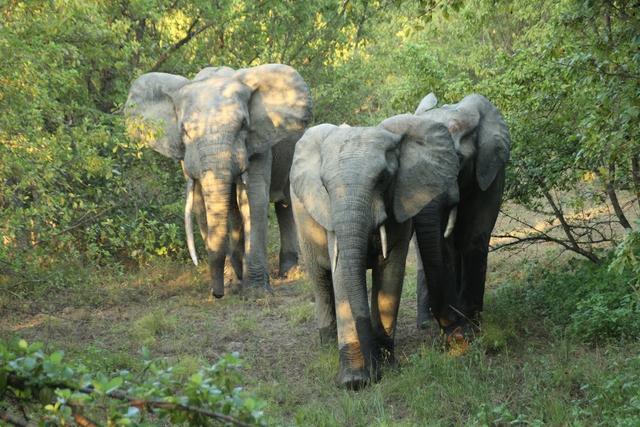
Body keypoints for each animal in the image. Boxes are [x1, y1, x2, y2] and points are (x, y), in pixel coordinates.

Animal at [124, 64, 312, 298]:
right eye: (184, 130)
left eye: (243, 125)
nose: (217, 294)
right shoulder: (187, 157)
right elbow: (200, 205)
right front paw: (233, 283)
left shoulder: (258, 142)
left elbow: (254, 200)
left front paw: (256, 292)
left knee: (283, 204)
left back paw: (289, 272)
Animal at [290, 115, 460, 390]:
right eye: (324, 186)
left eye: (382, 178)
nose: (375, 372)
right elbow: (341, 275)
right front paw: (355, 382)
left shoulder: (400, 202)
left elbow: (391, 273)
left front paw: (387, 366)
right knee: (321, 281)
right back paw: (327, 346)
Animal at [412, 93, 512, 338]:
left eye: (457, 159)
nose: (450, 323)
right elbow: (443, 247)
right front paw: (457, 328)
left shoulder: (491, 170)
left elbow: (474, 237)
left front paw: (471, 324)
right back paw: (426, 324)